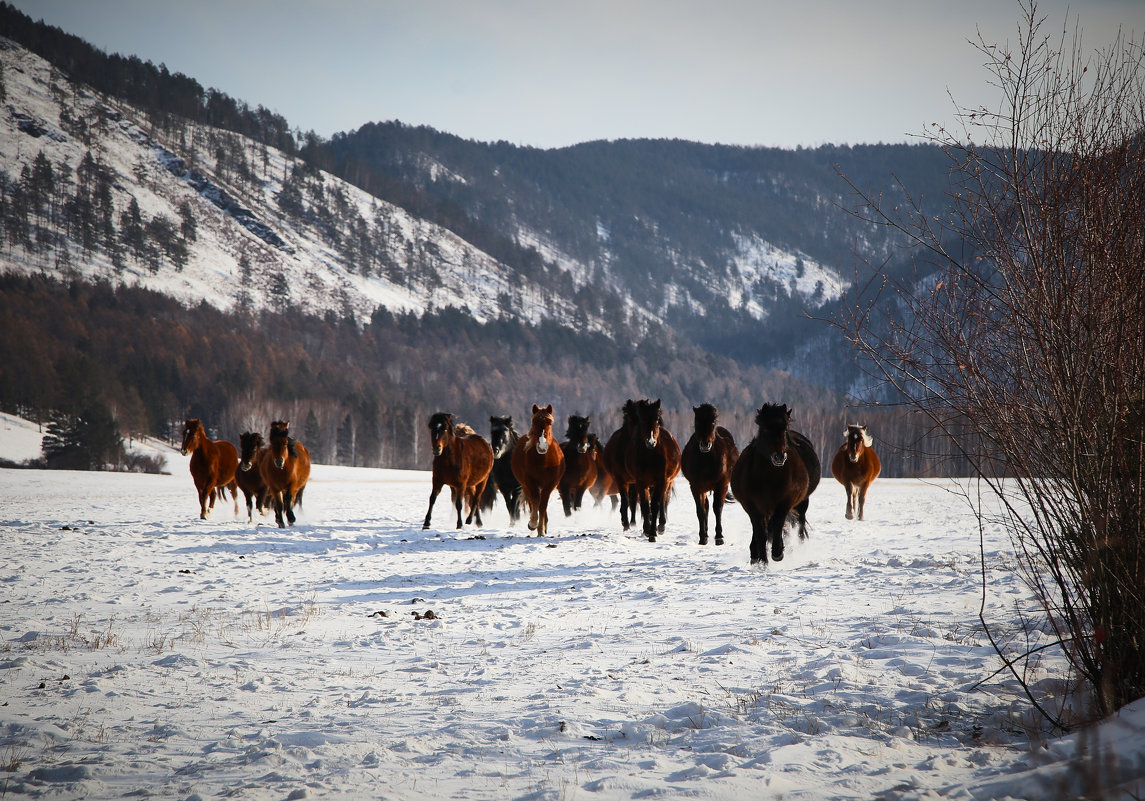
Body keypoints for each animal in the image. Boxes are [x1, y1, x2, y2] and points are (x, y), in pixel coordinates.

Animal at [512, 402, 565, 535]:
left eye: (550, 422)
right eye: (534, 422)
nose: (542, 446)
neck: (543, 461)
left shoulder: (550, 484)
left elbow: (543, 505)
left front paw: (541, 529)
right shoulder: (530, 482)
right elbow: (535, 501)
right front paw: (533, 524)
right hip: (526, 486)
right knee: (532, 502)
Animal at [627, 400, 677, 544]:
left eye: (657, 421)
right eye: (642, 420)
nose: (651, 442)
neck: (650, 455)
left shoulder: (661, 481)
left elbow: (655, 505)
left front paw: (653, 533)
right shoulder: (640, 482)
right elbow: (645, 505)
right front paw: (647, 529)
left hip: (667, 482)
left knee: (663, 500)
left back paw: (661, 526)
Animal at [677, 402, 741, 546]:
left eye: (713, 421)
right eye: (697, 421)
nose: (705, 444)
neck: (706, 459)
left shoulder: (722, 484)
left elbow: (717, 508)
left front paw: (719, 537)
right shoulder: (695, 486)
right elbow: (701, 511)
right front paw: (702, 538)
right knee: (705, 507)